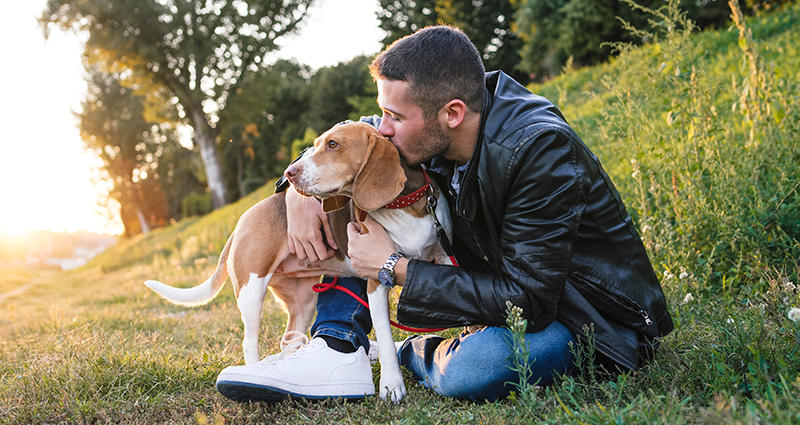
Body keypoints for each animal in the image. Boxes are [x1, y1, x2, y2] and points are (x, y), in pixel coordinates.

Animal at [145, 120, 454, 400]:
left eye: (333, 144)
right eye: (314, 145)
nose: (289, 172)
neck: (400, 206)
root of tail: (242, 220)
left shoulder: (444, 259)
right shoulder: (376, 281)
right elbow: (388, 342)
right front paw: (392, 386)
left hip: (304, 301)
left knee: (289, 345)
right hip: (251, 292)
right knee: (249, 342)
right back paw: (252, 373)